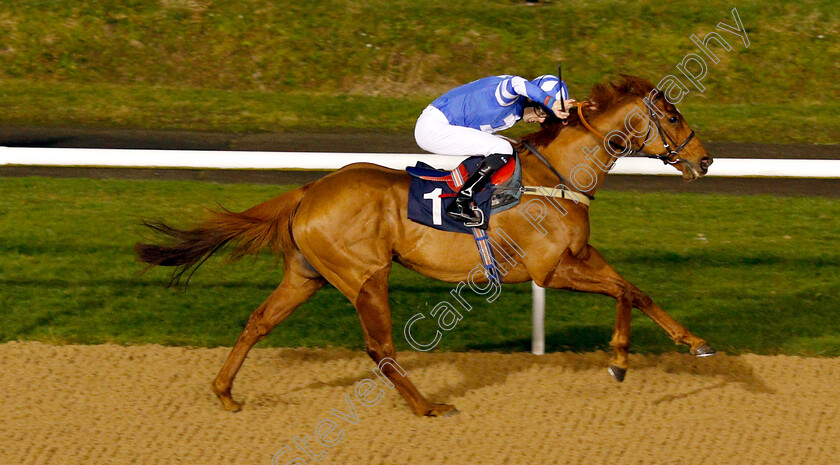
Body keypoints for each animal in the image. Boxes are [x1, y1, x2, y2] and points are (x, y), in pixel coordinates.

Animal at [136, 74, 716, 416]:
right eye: (672, 117)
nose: (705, 160)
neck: (557, 175)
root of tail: (310, 190)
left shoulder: (577, 256)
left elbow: (634, 290)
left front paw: (690, 344)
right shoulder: (551, 270)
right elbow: (622, 292)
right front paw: (619, 358)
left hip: (307, 275)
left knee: (258, 321)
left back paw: (225, 392)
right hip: (366, 276)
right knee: (381, 348)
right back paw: (428, 407)